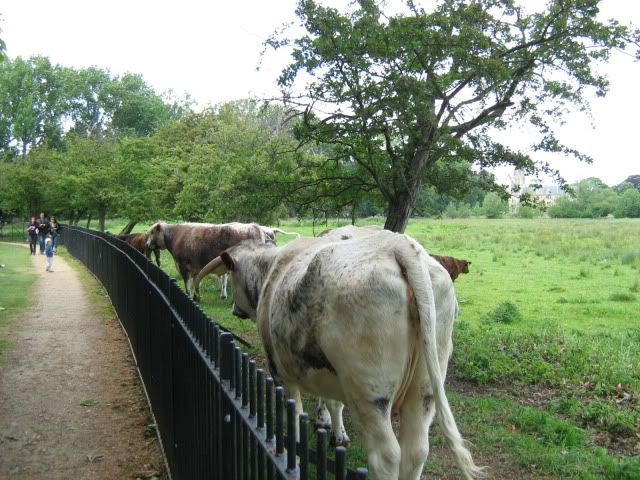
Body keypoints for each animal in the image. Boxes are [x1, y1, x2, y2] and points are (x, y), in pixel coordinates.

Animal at [146, 221, 274, 300]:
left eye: (152, 232)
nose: (147, 244)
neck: (176, 236)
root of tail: (254, 227)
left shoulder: (183, 265)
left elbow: (187, 284)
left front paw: (190, 296)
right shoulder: (196, 268)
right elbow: (196, 282)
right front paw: (196, 297)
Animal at [192, 231, 482, 478]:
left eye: (233, 275)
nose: (235, 310)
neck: (273, 272)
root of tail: (399, 246)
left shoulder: (283, 373)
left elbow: (294, 420)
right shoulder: (328, 371)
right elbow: (333, 403)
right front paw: (336, 433)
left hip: (369, 391)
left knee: (386, 455)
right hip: (424, 388)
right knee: (416, 451)